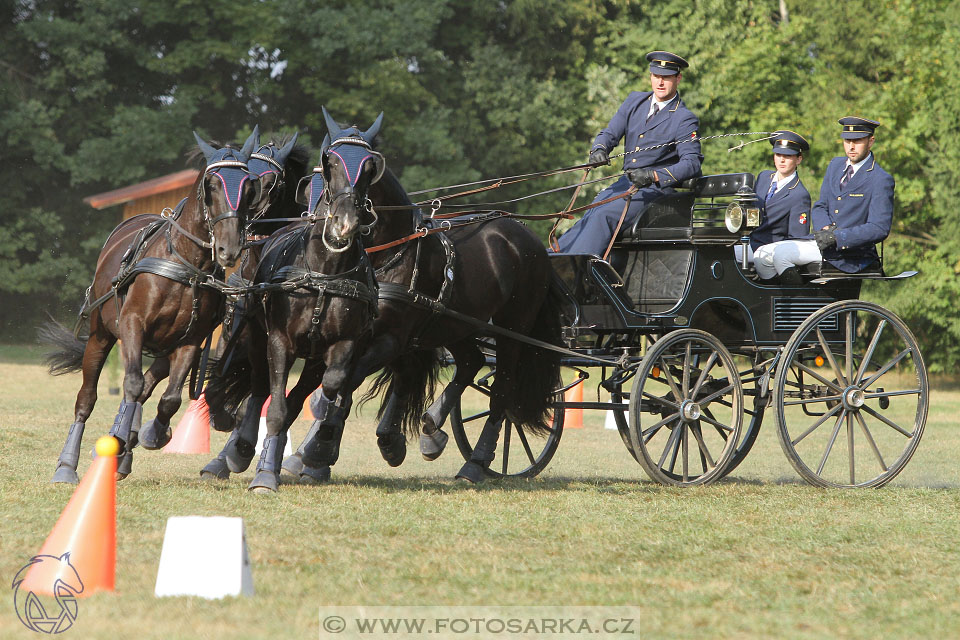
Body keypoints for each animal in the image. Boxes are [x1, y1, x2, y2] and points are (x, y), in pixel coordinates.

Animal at [40, 129, 260, 480]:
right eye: (211, 185)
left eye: (250, 187)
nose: (230, 249)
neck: (184, 264)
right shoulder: (132, 325)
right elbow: (130, 384)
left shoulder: (189, 341)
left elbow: (169, 399)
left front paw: (153, 434)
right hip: (101, 335)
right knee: (89, 397)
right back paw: (68, 465)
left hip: (162, 350)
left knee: (147, 388)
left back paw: (123, 447)